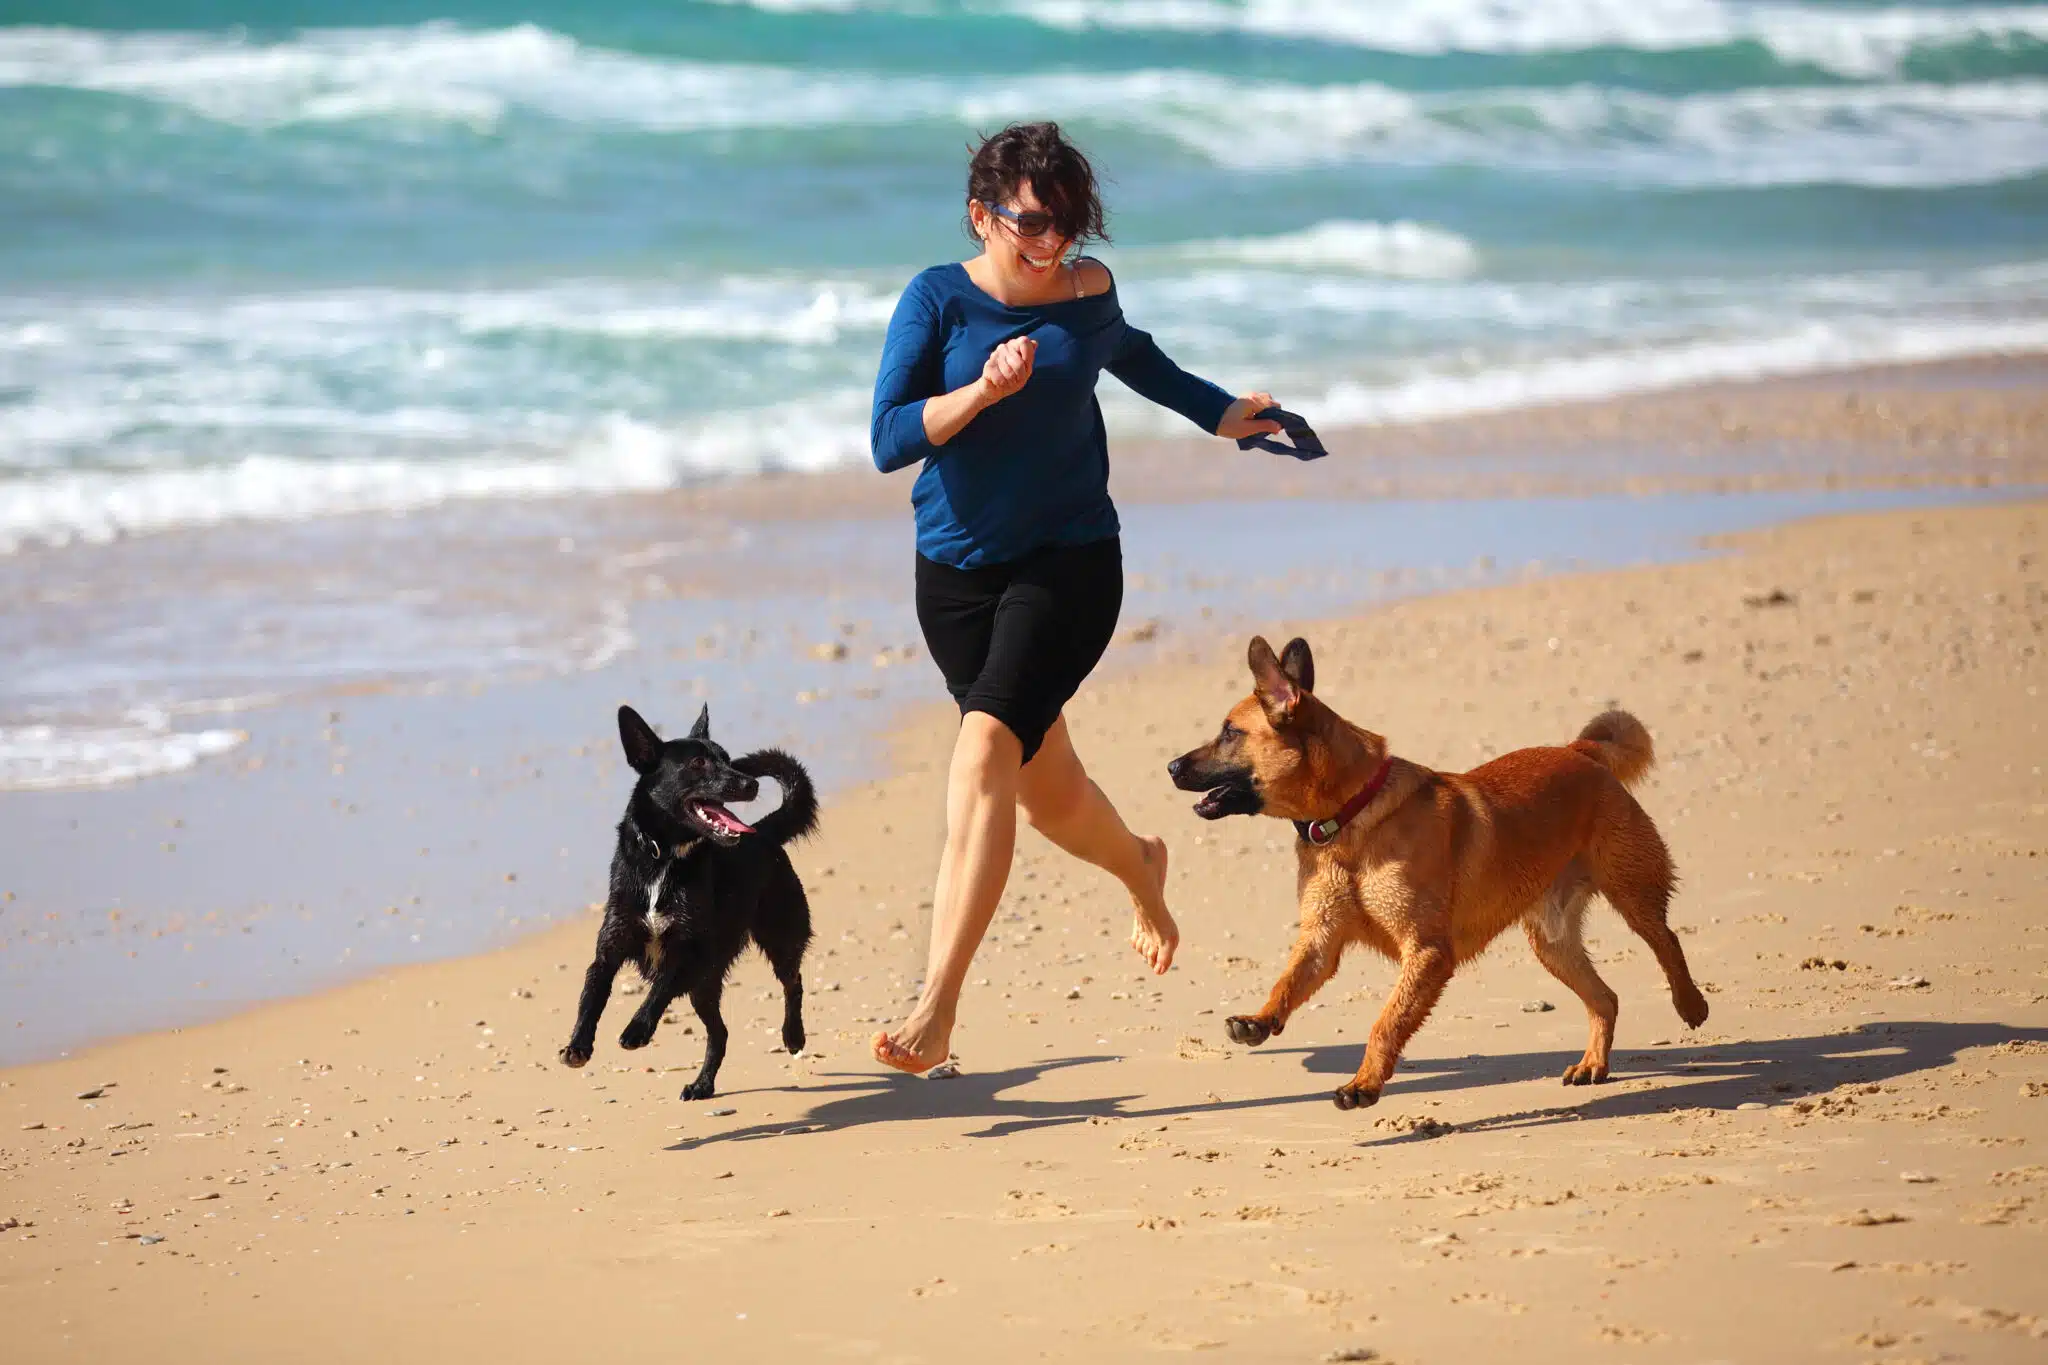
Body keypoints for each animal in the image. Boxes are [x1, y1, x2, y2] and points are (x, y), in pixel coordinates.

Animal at [565, 703, 819, 1096]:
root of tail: (764, 832)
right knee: (721, 1032)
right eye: (698, 763)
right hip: (705, 986)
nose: (751, 784)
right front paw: (578, 1045)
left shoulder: (688, 952)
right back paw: (702, 1084)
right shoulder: (609, 949)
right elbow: (590, 995)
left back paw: (793, 1035)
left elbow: (660, 987)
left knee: (794, 984)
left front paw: (636, 1030)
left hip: (779, 938)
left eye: (727, 759)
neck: (665, 857)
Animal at [1171, 638, 1712, 1113]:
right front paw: (1260, 1021)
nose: (1171, 765)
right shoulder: (1320, 941)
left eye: (1229, 733)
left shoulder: (1427, 951)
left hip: (1631, 888)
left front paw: (1364, 1085)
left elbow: (1386, 1024)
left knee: (1666, 940)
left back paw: (1691, 1005)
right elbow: (1287, 984)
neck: (1351, 819)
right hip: (1553, 942)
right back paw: (1594, 1063)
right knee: (1606, 998)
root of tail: (1581, 752)